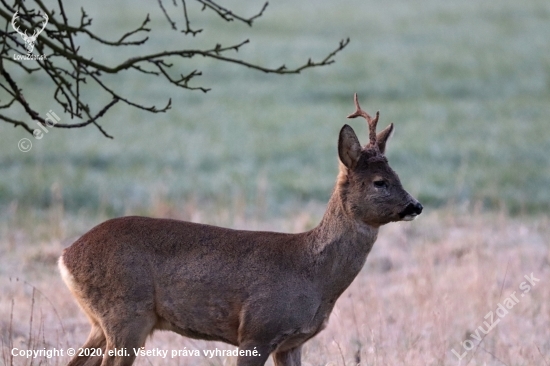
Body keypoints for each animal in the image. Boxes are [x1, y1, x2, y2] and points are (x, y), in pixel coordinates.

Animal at [59, 94, 422, 366]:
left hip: (102, 321)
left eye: (398, 176)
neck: (313, 274)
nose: (415, 206)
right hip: (126, 313)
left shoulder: (292, 342)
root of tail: (65, 256)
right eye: (380, 182)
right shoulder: (257, 331)